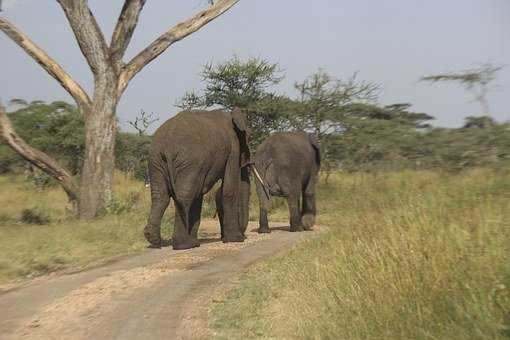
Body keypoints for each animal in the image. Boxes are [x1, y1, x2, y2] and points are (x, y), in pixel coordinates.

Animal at [144, 108, 250, 250]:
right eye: (249, 137)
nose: (244, 235)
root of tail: (168, 147)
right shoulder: (233, 148)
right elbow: (229, 189)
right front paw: (236, 240)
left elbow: (199, 194)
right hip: (189, 161)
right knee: (185, 196)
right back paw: (185, 245)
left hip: (155, 161)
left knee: (161, 197)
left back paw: (154, 240)